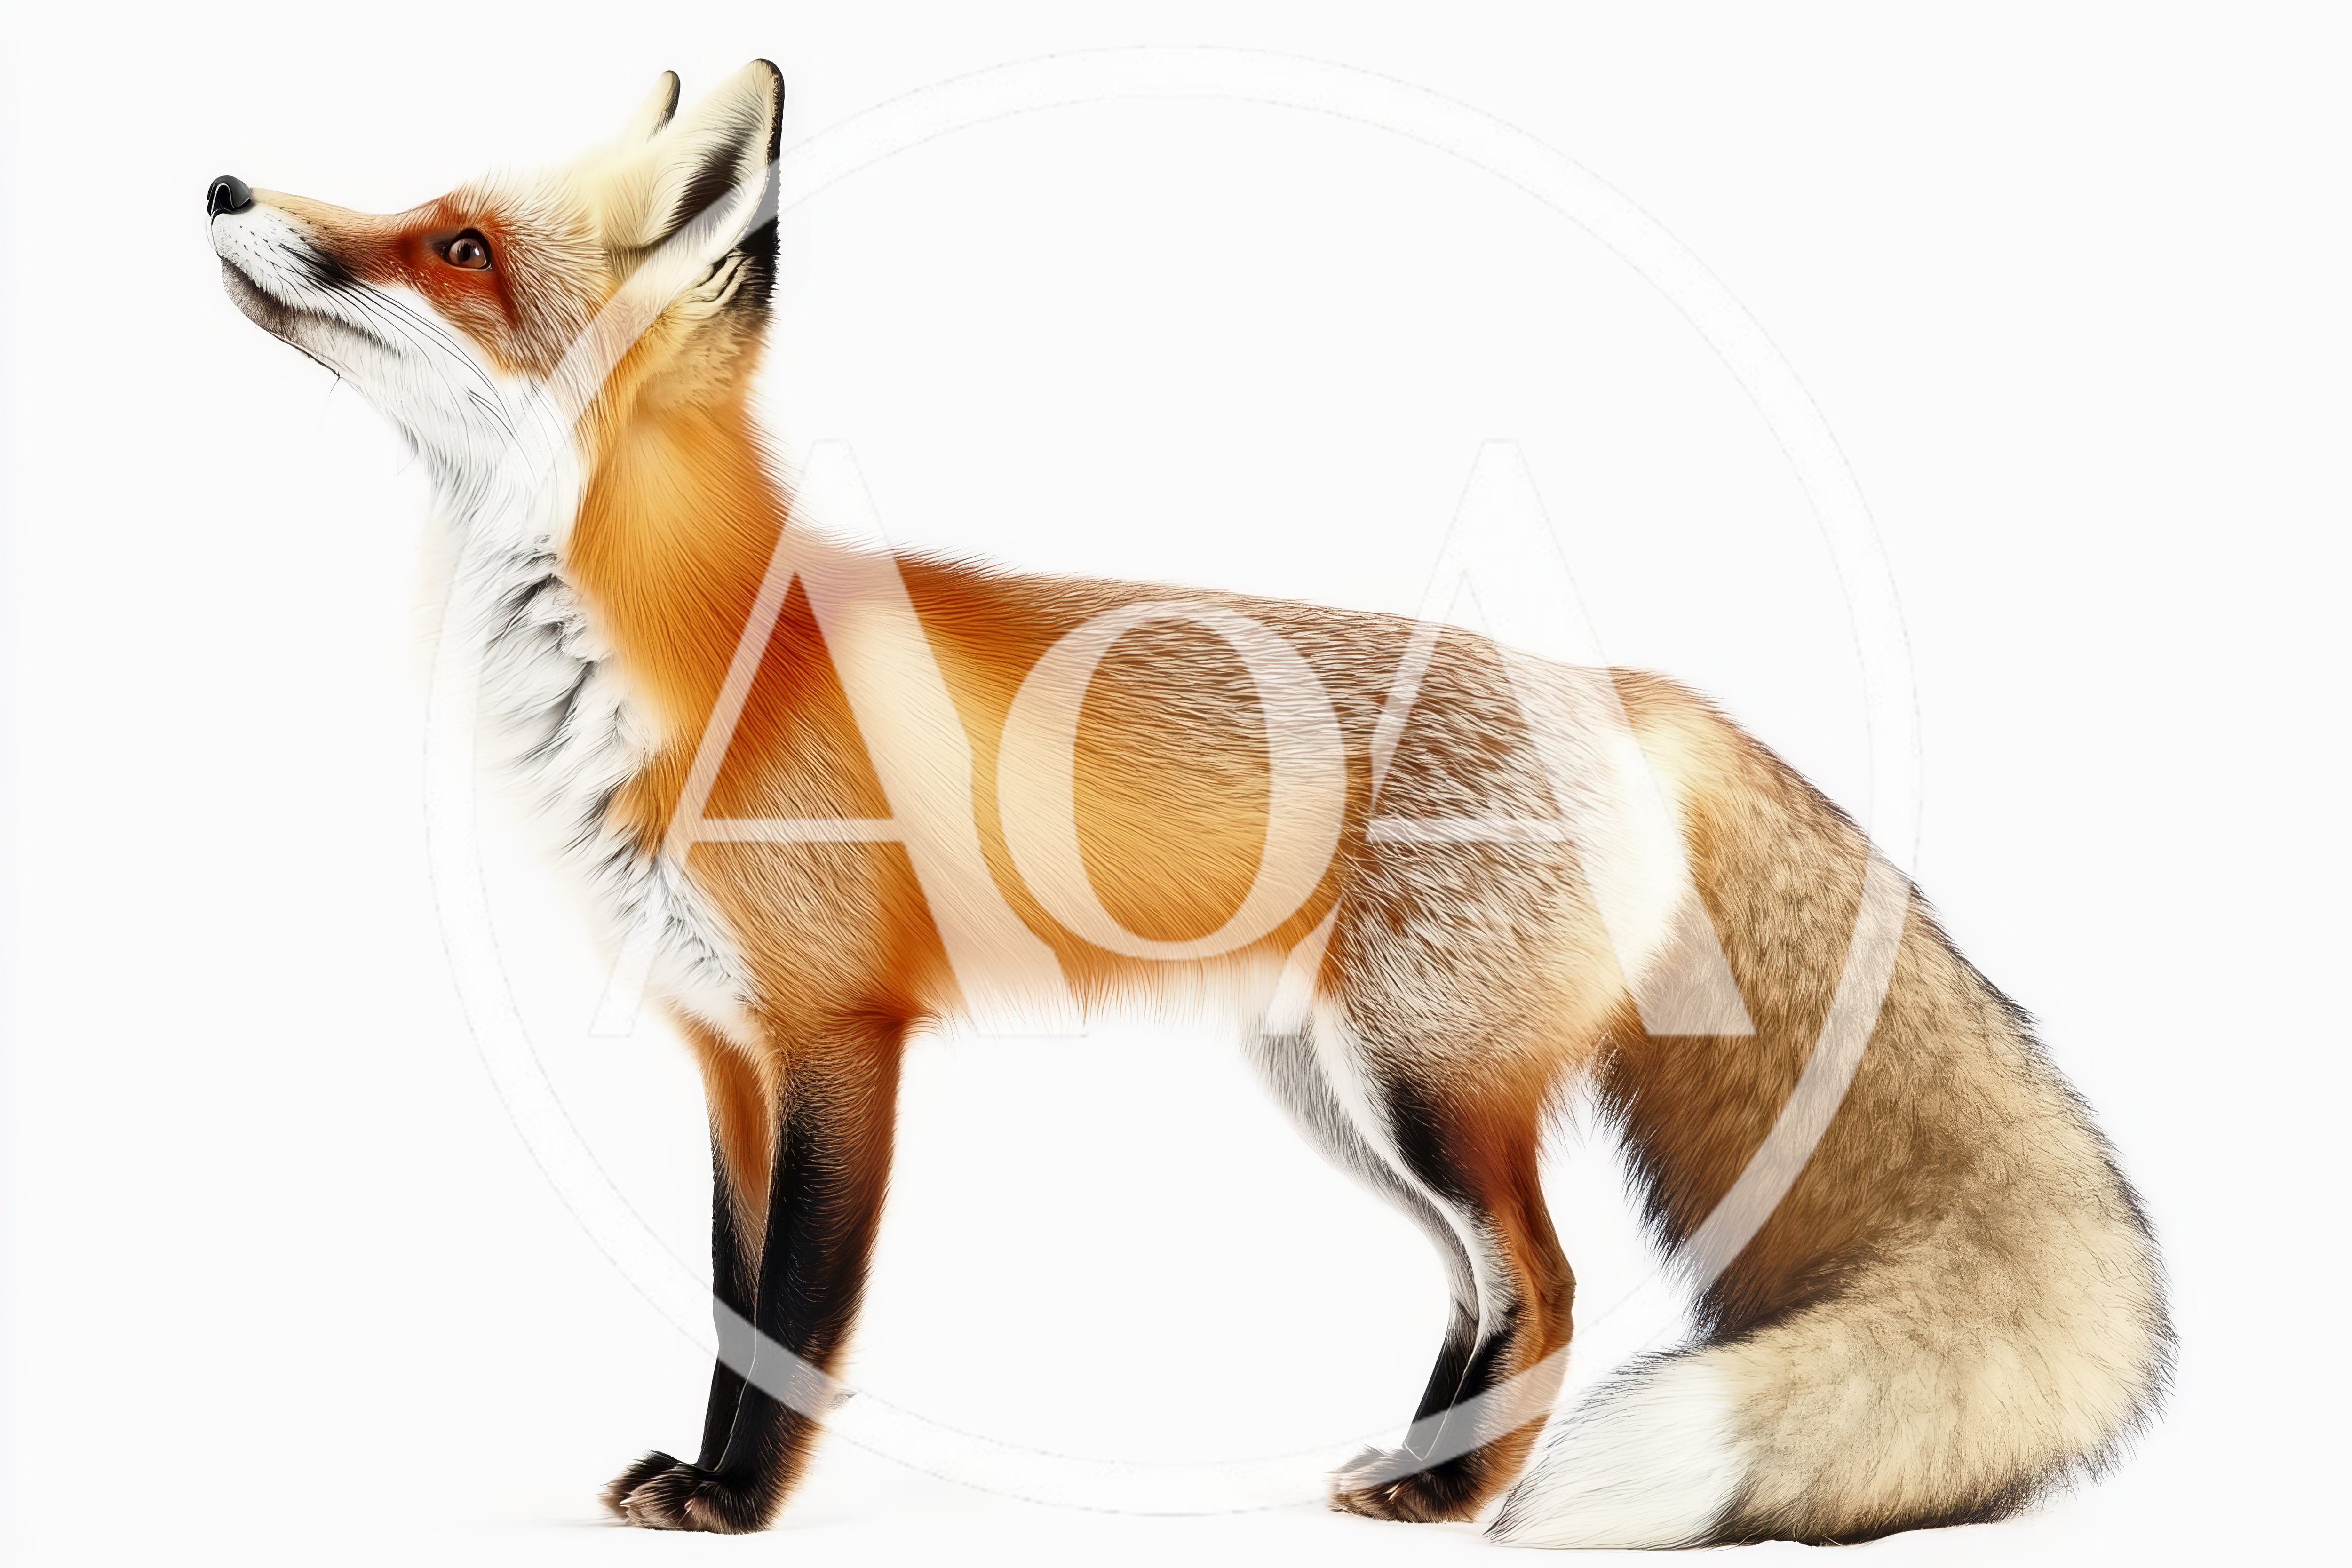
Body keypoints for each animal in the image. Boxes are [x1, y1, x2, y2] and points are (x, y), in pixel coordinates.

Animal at [208, 61, 2171, 1544]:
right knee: (1484, 1291)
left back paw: (1460, 1505)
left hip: (1423, 1090)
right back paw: (1412, 1472)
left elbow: (794, 1319)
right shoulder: (725, 1054)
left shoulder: (841, 1042)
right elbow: (722, 1303)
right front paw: (697, 1473)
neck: (679, 665)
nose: (223, 179)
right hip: (1338, 1095)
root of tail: (1625, 691)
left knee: (1545, 1286)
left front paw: (740, 1508)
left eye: (456, 244)